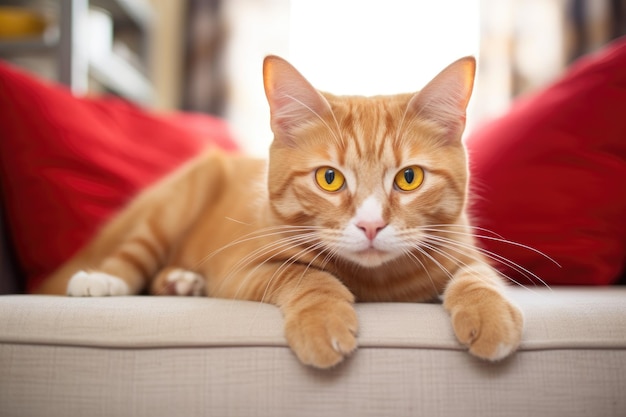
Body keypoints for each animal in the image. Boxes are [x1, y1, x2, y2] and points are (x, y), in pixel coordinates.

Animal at [35, 54, 520, 368]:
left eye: (409, 178)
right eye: (330, 179)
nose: (370, 225)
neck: (377, 284)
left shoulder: (462, 250)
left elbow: (477, 275)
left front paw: (489, 313)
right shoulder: (242, 269)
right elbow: (306, 276)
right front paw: (323, 320)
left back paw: (181, 282)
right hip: (175, 204)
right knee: (134, 255)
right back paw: (103, 280)